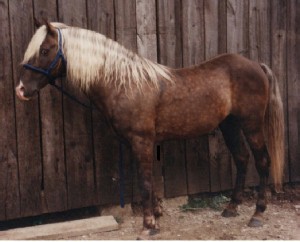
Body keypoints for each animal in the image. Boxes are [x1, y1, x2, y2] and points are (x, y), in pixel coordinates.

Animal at [15, 20, 284, 236]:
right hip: (230, 126)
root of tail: (256, 66)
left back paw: (257, 214)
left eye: (44, 50)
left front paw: (147, 226)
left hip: (251, 125)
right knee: (241, 159)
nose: (21, 90)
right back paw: (232, 207)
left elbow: (144, 183)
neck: (124, 83)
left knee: (262, 161)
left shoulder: (141, 141)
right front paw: (155, 218)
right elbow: (150, 182)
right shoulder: (137, 143)